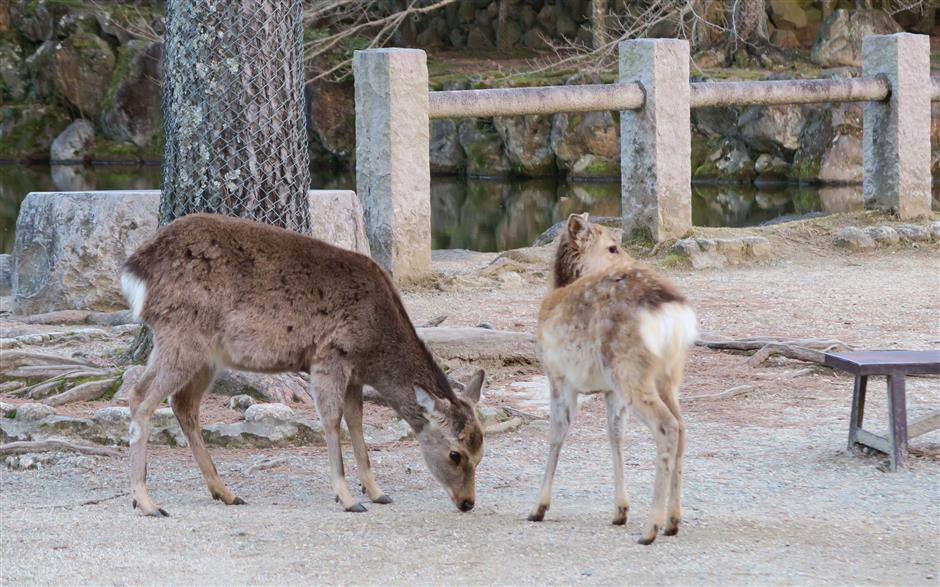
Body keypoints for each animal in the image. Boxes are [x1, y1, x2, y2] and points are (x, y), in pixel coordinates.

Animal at [120, 214, 484, 516]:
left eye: (482, 452)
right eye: (456, 454)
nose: (467, 502)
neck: (376, 347)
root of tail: (134, 270)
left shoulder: (355, 373)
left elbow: (357, 423)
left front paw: (376, 492)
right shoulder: (331, 355)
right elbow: (332, 421)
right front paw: (348, 498)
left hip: (206, 354)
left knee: (183, 404)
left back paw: (225, 492)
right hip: (182, 334)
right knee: (140, 396)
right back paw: (146, 502)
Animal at [528, 214, 696, 544]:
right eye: (612, 247)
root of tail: (673, 314)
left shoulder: (557, 374)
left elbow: (556, 434)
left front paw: (538, 507)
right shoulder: (609, 390)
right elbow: (615, 433)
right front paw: (620, 510)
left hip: (630, 369)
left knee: (667, 425)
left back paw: (651, 528)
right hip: (668, 374)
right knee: (682, 425)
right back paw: (673, 521)